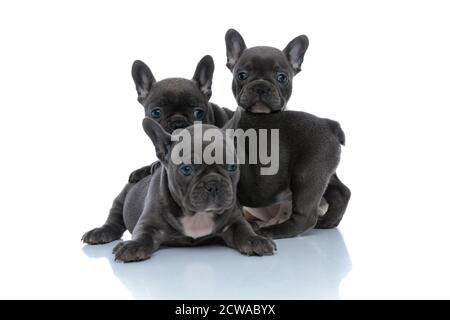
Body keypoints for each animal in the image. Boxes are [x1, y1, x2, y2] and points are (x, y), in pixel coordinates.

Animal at [83, 116, 276, 262]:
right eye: (186, 169)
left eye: (232, 166)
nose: (213, 184)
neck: (197, 215)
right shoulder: (149, 223)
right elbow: (142, 234)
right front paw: (133, 246)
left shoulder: (234, 221)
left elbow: (244, 229)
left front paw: (255, 240)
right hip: (121, 198)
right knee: (114, 219)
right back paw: (100, 232)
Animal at [225, 28, 352, 235]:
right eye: (242, 75)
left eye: (281, 77)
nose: (260, 86)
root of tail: (328, 124)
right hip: (324, 173)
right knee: (341, 192)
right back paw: (328, 222)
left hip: (306, 175)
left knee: (304, 216)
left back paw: (274, 230)